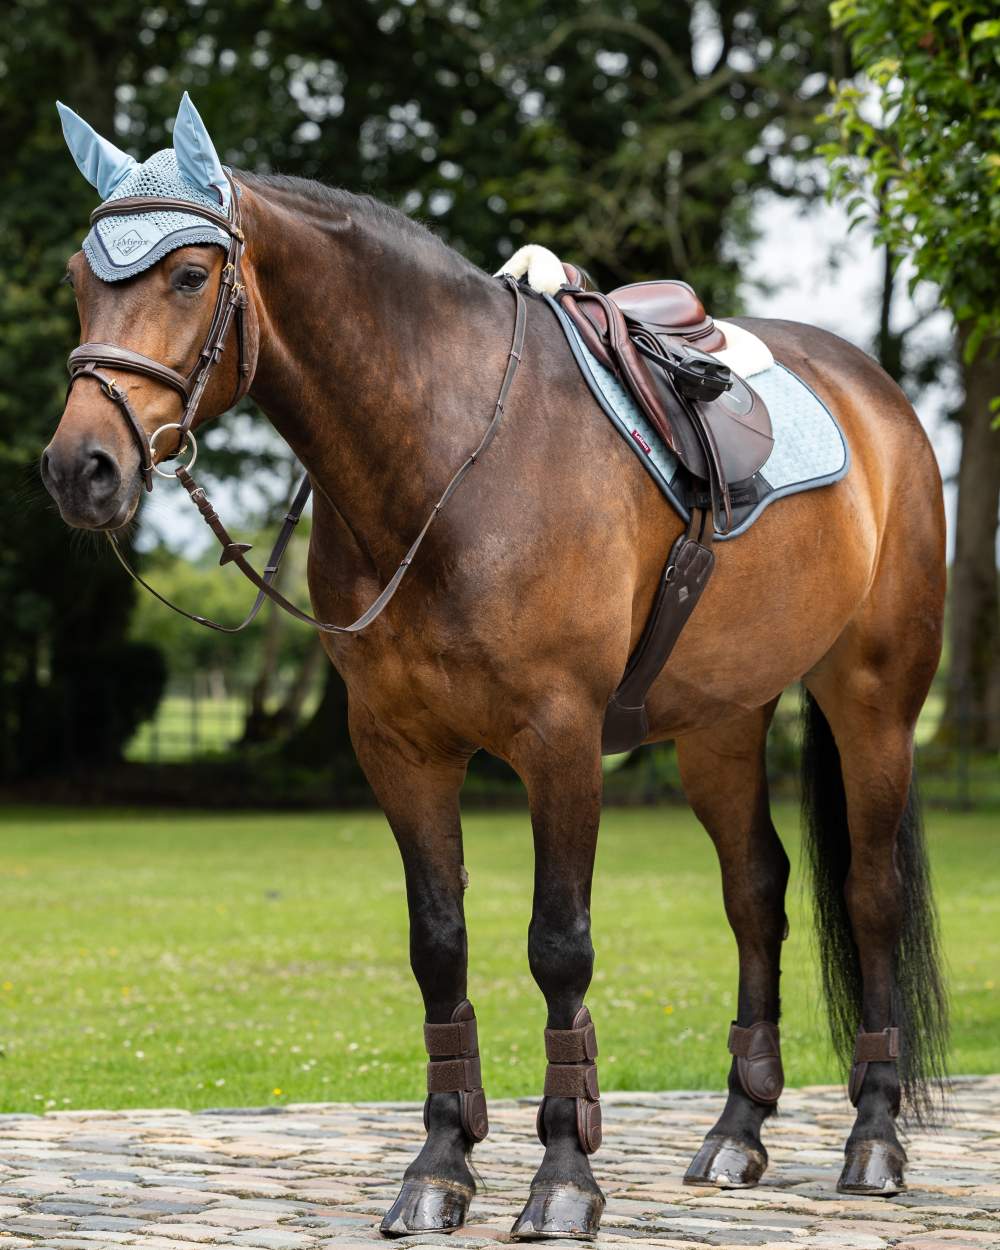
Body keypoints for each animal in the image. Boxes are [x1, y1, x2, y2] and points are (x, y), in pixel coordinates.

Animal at [40, 148, 945, 1240]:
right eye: (78, 281)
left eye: (186, 276)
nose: (80, 468)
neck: (450, 451)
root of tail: (876, 394)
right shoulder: (399, 745)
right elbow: (439, 945)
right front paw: (439, 1166)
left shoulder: (560, 739)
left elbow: (558, 947)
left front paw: (563, 1178)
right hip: (722, 725)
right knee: (754, 890)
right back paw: (737, 1130)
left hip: (874, 699)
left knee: (870, 894)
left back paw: (876, 1140)